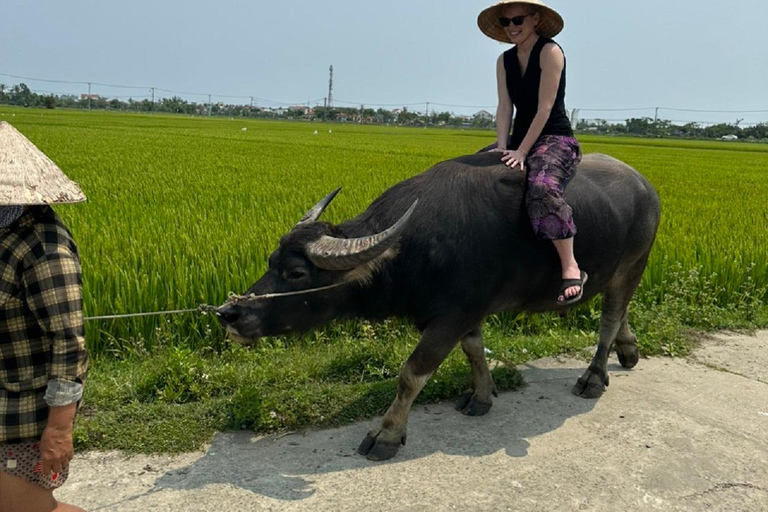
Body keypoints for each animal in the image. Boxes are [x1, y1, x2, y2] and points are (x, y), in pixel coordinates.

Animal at [216, 151, 660, 460]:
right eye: (270, 260)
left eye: (296, 273)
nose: (228, 314)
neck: (416, 249)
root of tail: (647, 186)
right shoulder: (466, 312)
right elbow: (474, 350)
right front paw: (481, 396)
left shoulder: (451, 316)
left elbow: (412, 374)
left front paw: (386, 434)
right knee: (620, 312)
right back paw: (628, 349)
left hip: (634, 263)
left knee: (610, 317)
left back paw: (593, 376)